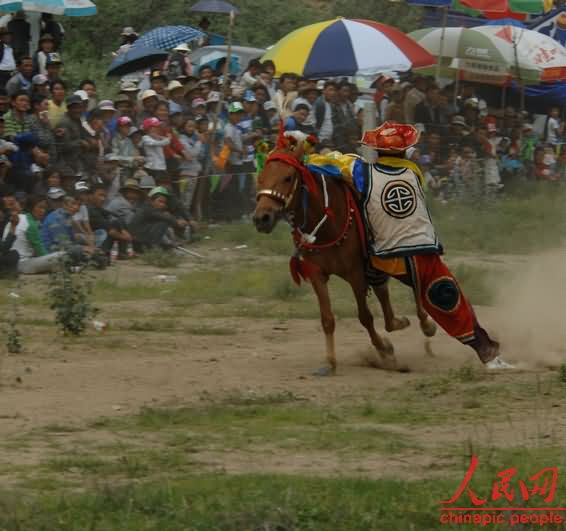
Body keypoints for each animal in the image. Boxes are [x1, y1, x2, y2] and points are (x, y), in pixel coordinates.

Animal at [253, 138, 434, 378]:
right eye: (261, 177)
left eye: (288, 177)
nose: (261, 218)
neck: (326, 221)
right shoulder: (317, 274)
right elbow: (327, 319)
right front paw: (330, 363)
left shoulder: (356, 273)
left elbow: (365, 316)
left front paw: (384, 349)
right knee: (383, 293)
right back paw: (397, 322)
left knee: (415, 283)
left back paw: (426, 323)